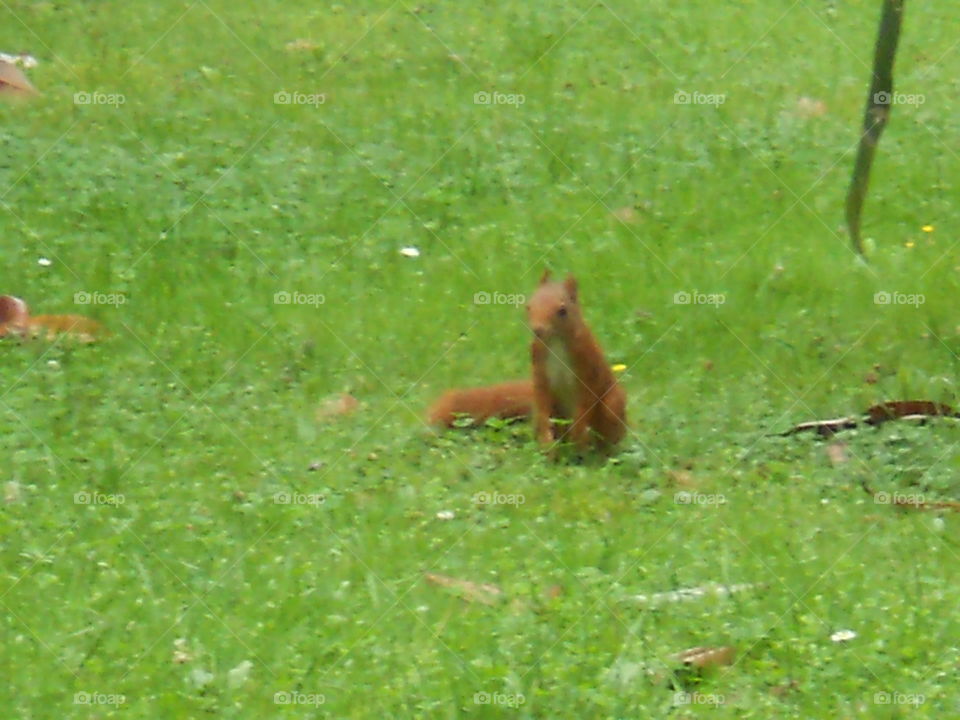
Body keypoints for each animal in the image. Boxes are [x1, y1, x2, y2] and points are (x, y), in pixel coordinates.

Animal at [427, 270, 627, 451]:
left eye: (562, 311)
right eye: (528, 307)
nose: (538, 330)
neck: (555, 342)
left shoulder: (588, 367)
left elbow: (587, 401)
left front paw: (579, 429)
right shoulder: (539, 368)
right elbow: (543, 400)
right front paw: (547, 437)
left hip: (612, 407)